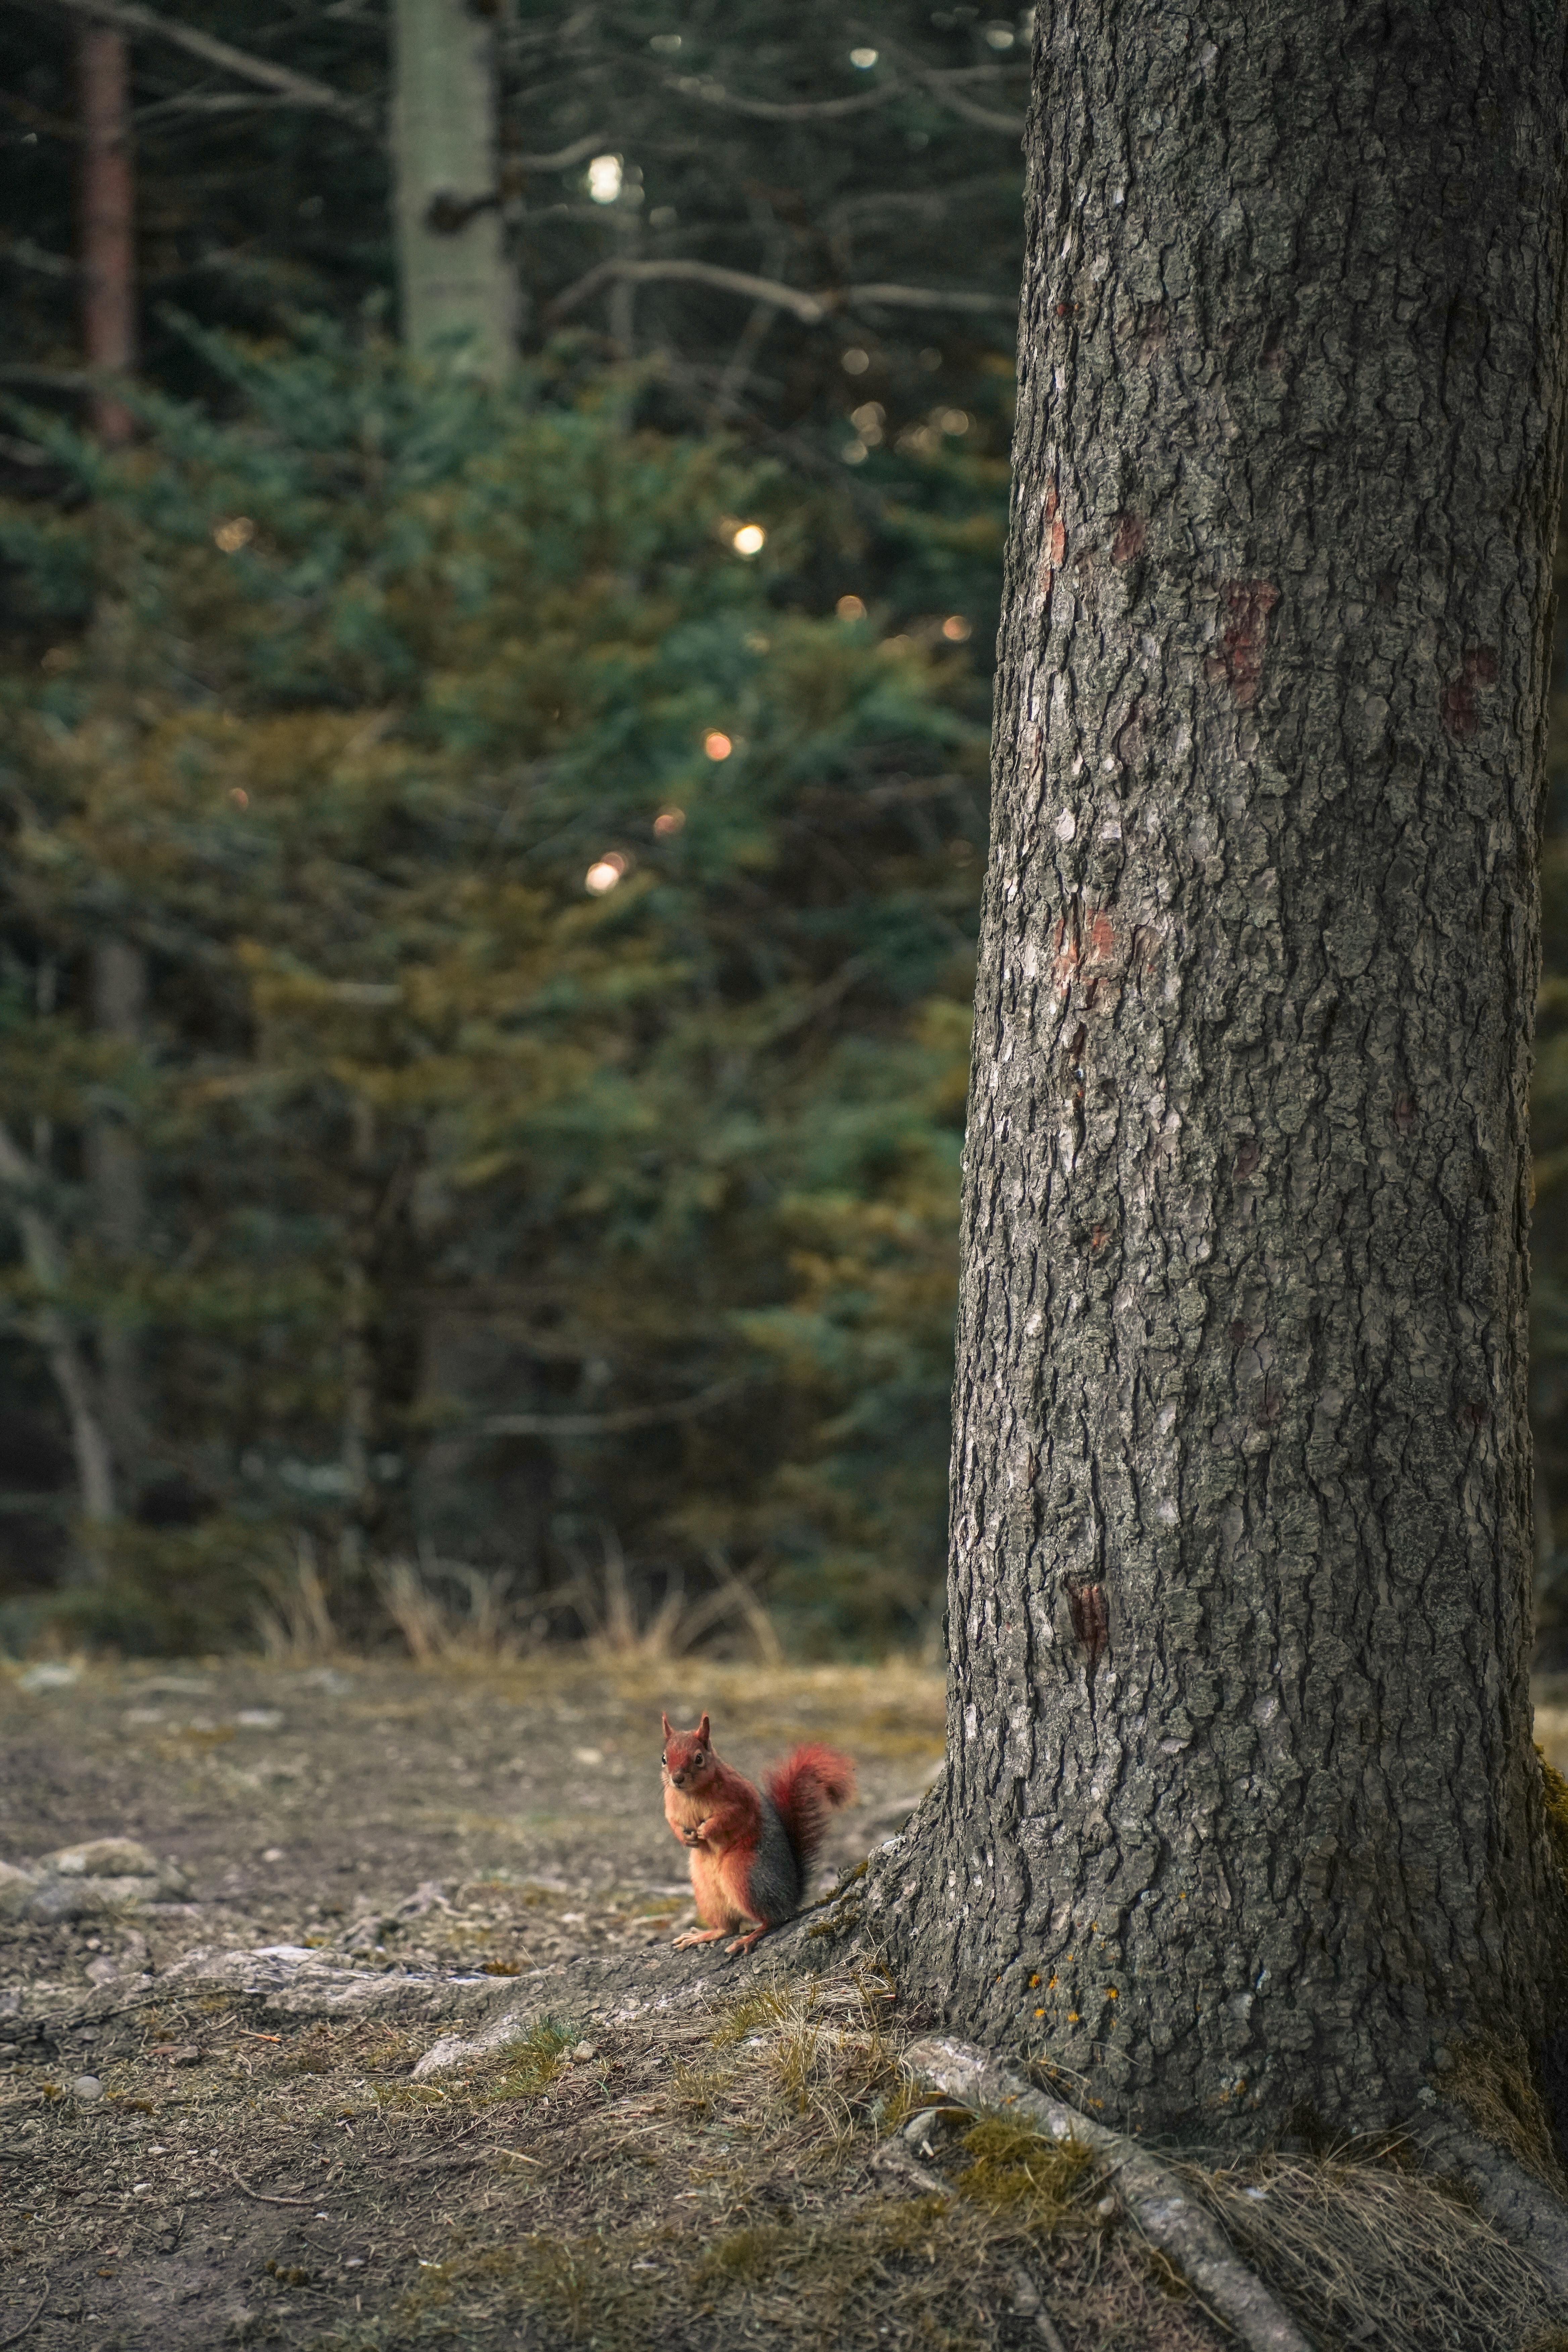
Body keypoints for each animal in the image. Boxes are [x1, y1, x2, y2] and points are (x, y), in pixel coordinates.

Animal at [660, 1711, 856, 1955]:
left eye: (699, 1758)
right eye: (664, 1759)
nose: (677, 1779)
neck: (691, 1794)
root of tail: (790, 1897)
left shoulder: (741, 1799)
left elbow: (730, 1817)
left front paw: (707, 1829)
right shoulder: (671, 1806)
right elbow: (672, 1823)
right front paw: (685, 1837)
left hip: (744, 1876)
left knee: (773, 1919)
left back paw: (750, 1938)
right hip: (707, 1892)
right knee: (728, 1928)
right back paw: (704, 1935)